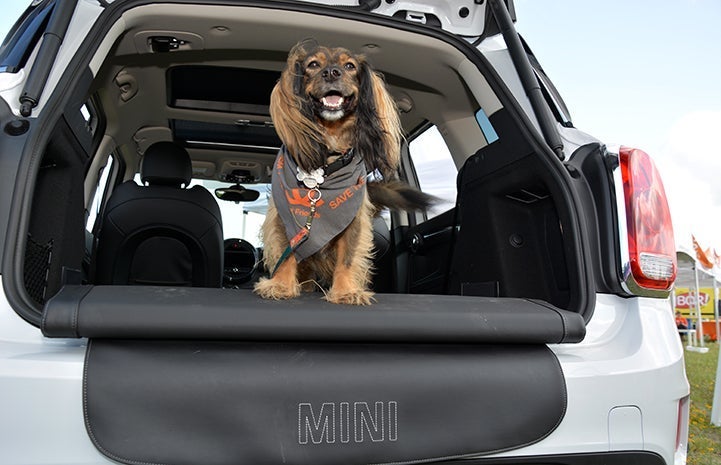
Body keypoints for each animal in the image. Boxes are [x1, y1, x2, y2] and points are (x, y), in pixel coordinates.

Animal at [256, 40, 430, 304]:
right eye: (313, 65)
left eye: (349, 66)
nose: (331, 73)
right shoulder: (283, 217)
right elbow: (287, 253)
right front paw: (281, 285)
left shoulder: (353, 218)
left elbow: (347, 258)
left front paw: (346, 290)